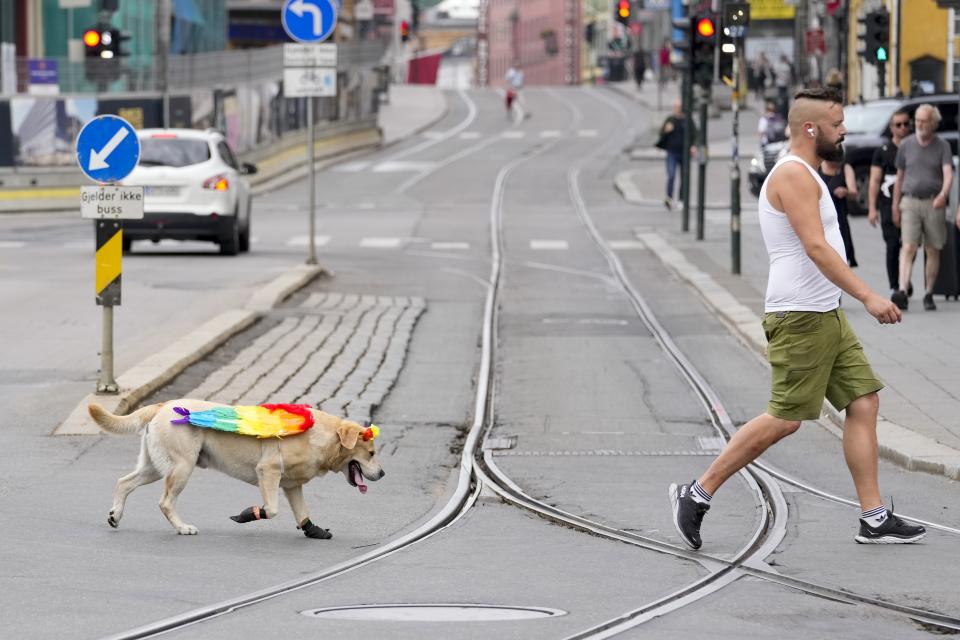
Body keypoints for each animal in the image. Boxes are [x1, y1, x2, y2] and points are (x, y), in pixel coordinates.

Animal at [86, 402, 384, 536]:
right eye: (371, 453)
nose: (382, 474)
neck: (318, 436)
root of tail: (162, 406)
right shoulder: (269, 472)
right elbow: (271, 510)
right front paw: (247, 514)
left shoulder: (292, 485)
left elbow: (303, 513)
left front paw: (314, 531)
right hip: (182, 467)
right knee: (165, 502)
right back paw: (183, 527)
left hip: (155, 468)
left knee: (123, 482)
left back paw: (115, 515)